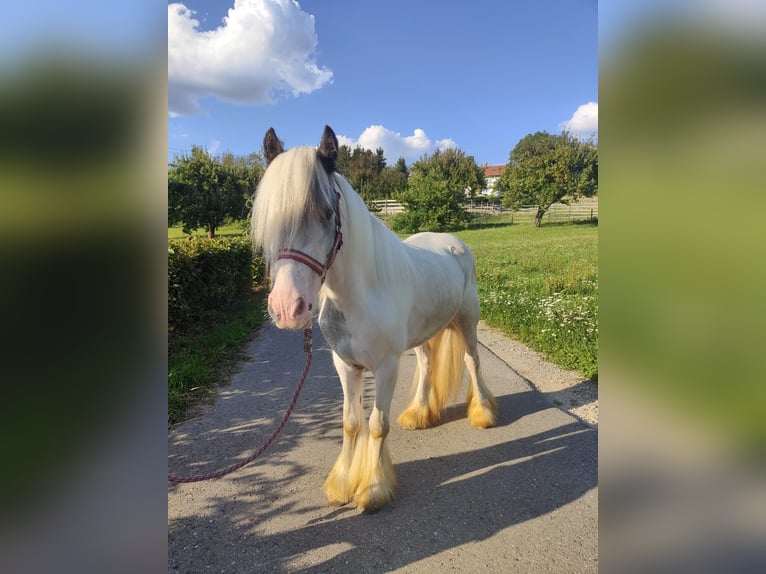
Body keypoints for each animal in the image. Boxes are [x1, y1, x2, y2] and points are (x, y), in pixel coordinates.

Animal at [252, 126, 498, 512]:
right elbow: (352, 422)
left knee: (473, 362)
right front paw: (341, 484)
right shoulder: (345, 365)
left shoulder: (385, 366)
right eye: (270, 219)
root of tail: (453, 243)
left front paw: (373, 488)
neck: (358, 295)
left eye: (327, 214)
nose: (288, 307)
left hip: (468, 321)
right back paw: (418, 414)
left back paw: (483, 414)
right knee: (427, 365)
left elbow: (377, 424)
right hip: (422, 334)